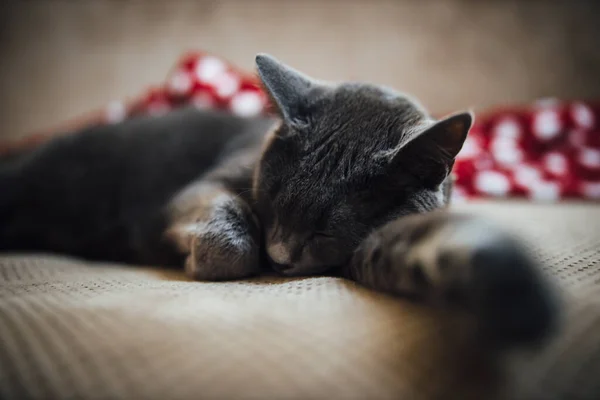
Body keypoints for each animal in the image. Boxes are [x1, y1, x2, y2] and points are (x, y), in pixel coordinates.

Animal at [0, 54, 556, 350]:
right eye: (271, 206)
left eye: (326, 230)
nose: (281, 257)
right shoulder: (203, 187)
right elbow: (229, 233)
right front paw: (203, 258)